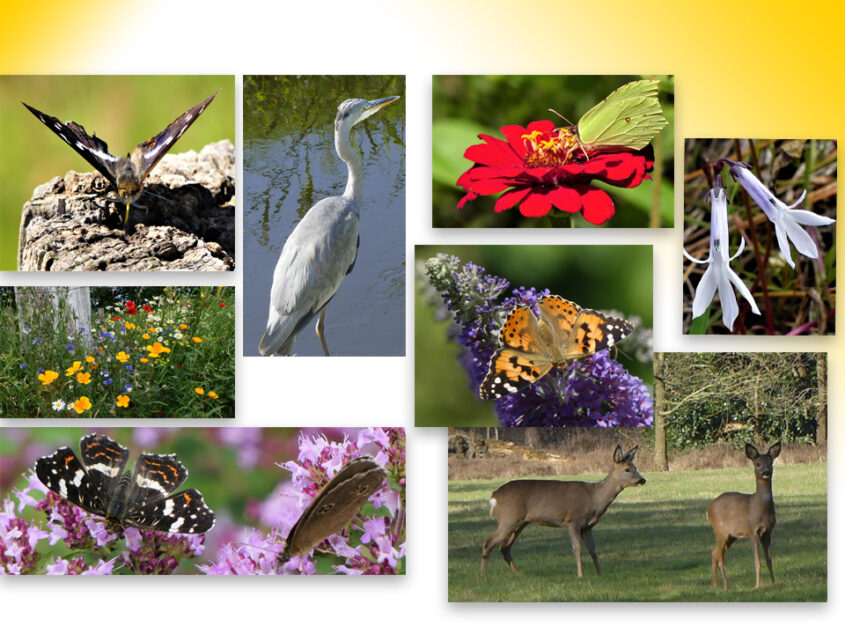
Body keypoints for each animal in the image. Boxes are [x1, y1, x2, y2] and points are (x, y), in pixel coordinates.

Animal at [478, 442, 644, 576]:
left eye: (635, 467)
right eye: (627, 469)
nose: (642, 479)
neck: (594, 498)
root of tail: (494, 497)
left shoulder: (587, 527)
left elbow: (593, 550)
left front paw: (599, 574)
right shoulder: (573, 520)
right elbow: (577, 548)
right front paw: (580, 575)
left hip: (520, 522)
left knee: (504, 547)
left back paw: (519, 574)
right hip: (508, 518)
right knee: (488, 543)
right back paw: (483, 577)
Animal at [704, 440, 780, 588]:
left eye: (771, 462)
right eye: (757, 463)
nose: (766, 472)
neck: (760, 507)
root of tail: (708, 509)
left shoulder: (768, 532)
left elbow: (769, 559)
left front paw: (774, 583)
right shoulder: (752, 530)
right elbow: (757, 560)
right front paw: (757, 586)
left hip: (731, 535)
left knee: (715, 552)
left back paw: (716, 585)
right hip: (720, 529)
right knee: (718, 553)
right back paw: (726, 585)